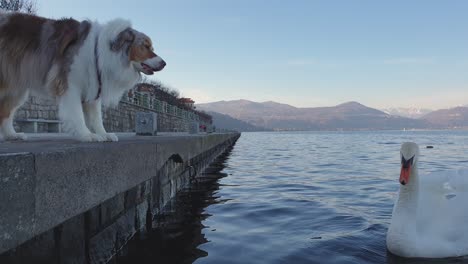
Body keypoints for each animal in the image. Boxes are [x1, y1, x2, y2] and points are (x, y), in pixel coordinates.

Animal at [0, 11, 166, 142]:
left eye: (151, 47)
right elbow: (77, 114)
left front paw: (104, 134)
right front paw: (87, 135)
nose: (164, 63)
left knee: (6, 112)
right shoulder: (70, 86)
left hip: (16, 90)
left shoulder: (93, 87)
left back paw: (12, 135)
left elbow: (96, 117)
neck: (100, 51)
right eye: (145, 46)